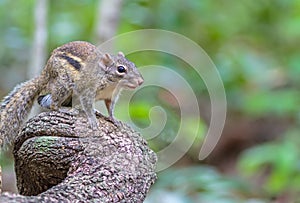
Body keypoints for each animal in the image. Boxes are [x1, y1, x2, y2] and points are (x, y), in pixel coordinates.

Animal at [0, 40, 143, 147]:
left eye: (134, 65)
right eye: (121, 69)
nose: (141, 81)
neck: (110, 84)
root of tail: (45, 73)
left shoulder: (111, 96)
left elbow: (110, 108)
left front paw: (114, 119)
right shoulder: (87, 91)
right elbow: (88, 106)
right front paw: (93, 120)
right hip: (63, 85)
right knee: (53, 104)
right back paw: (65, 110)